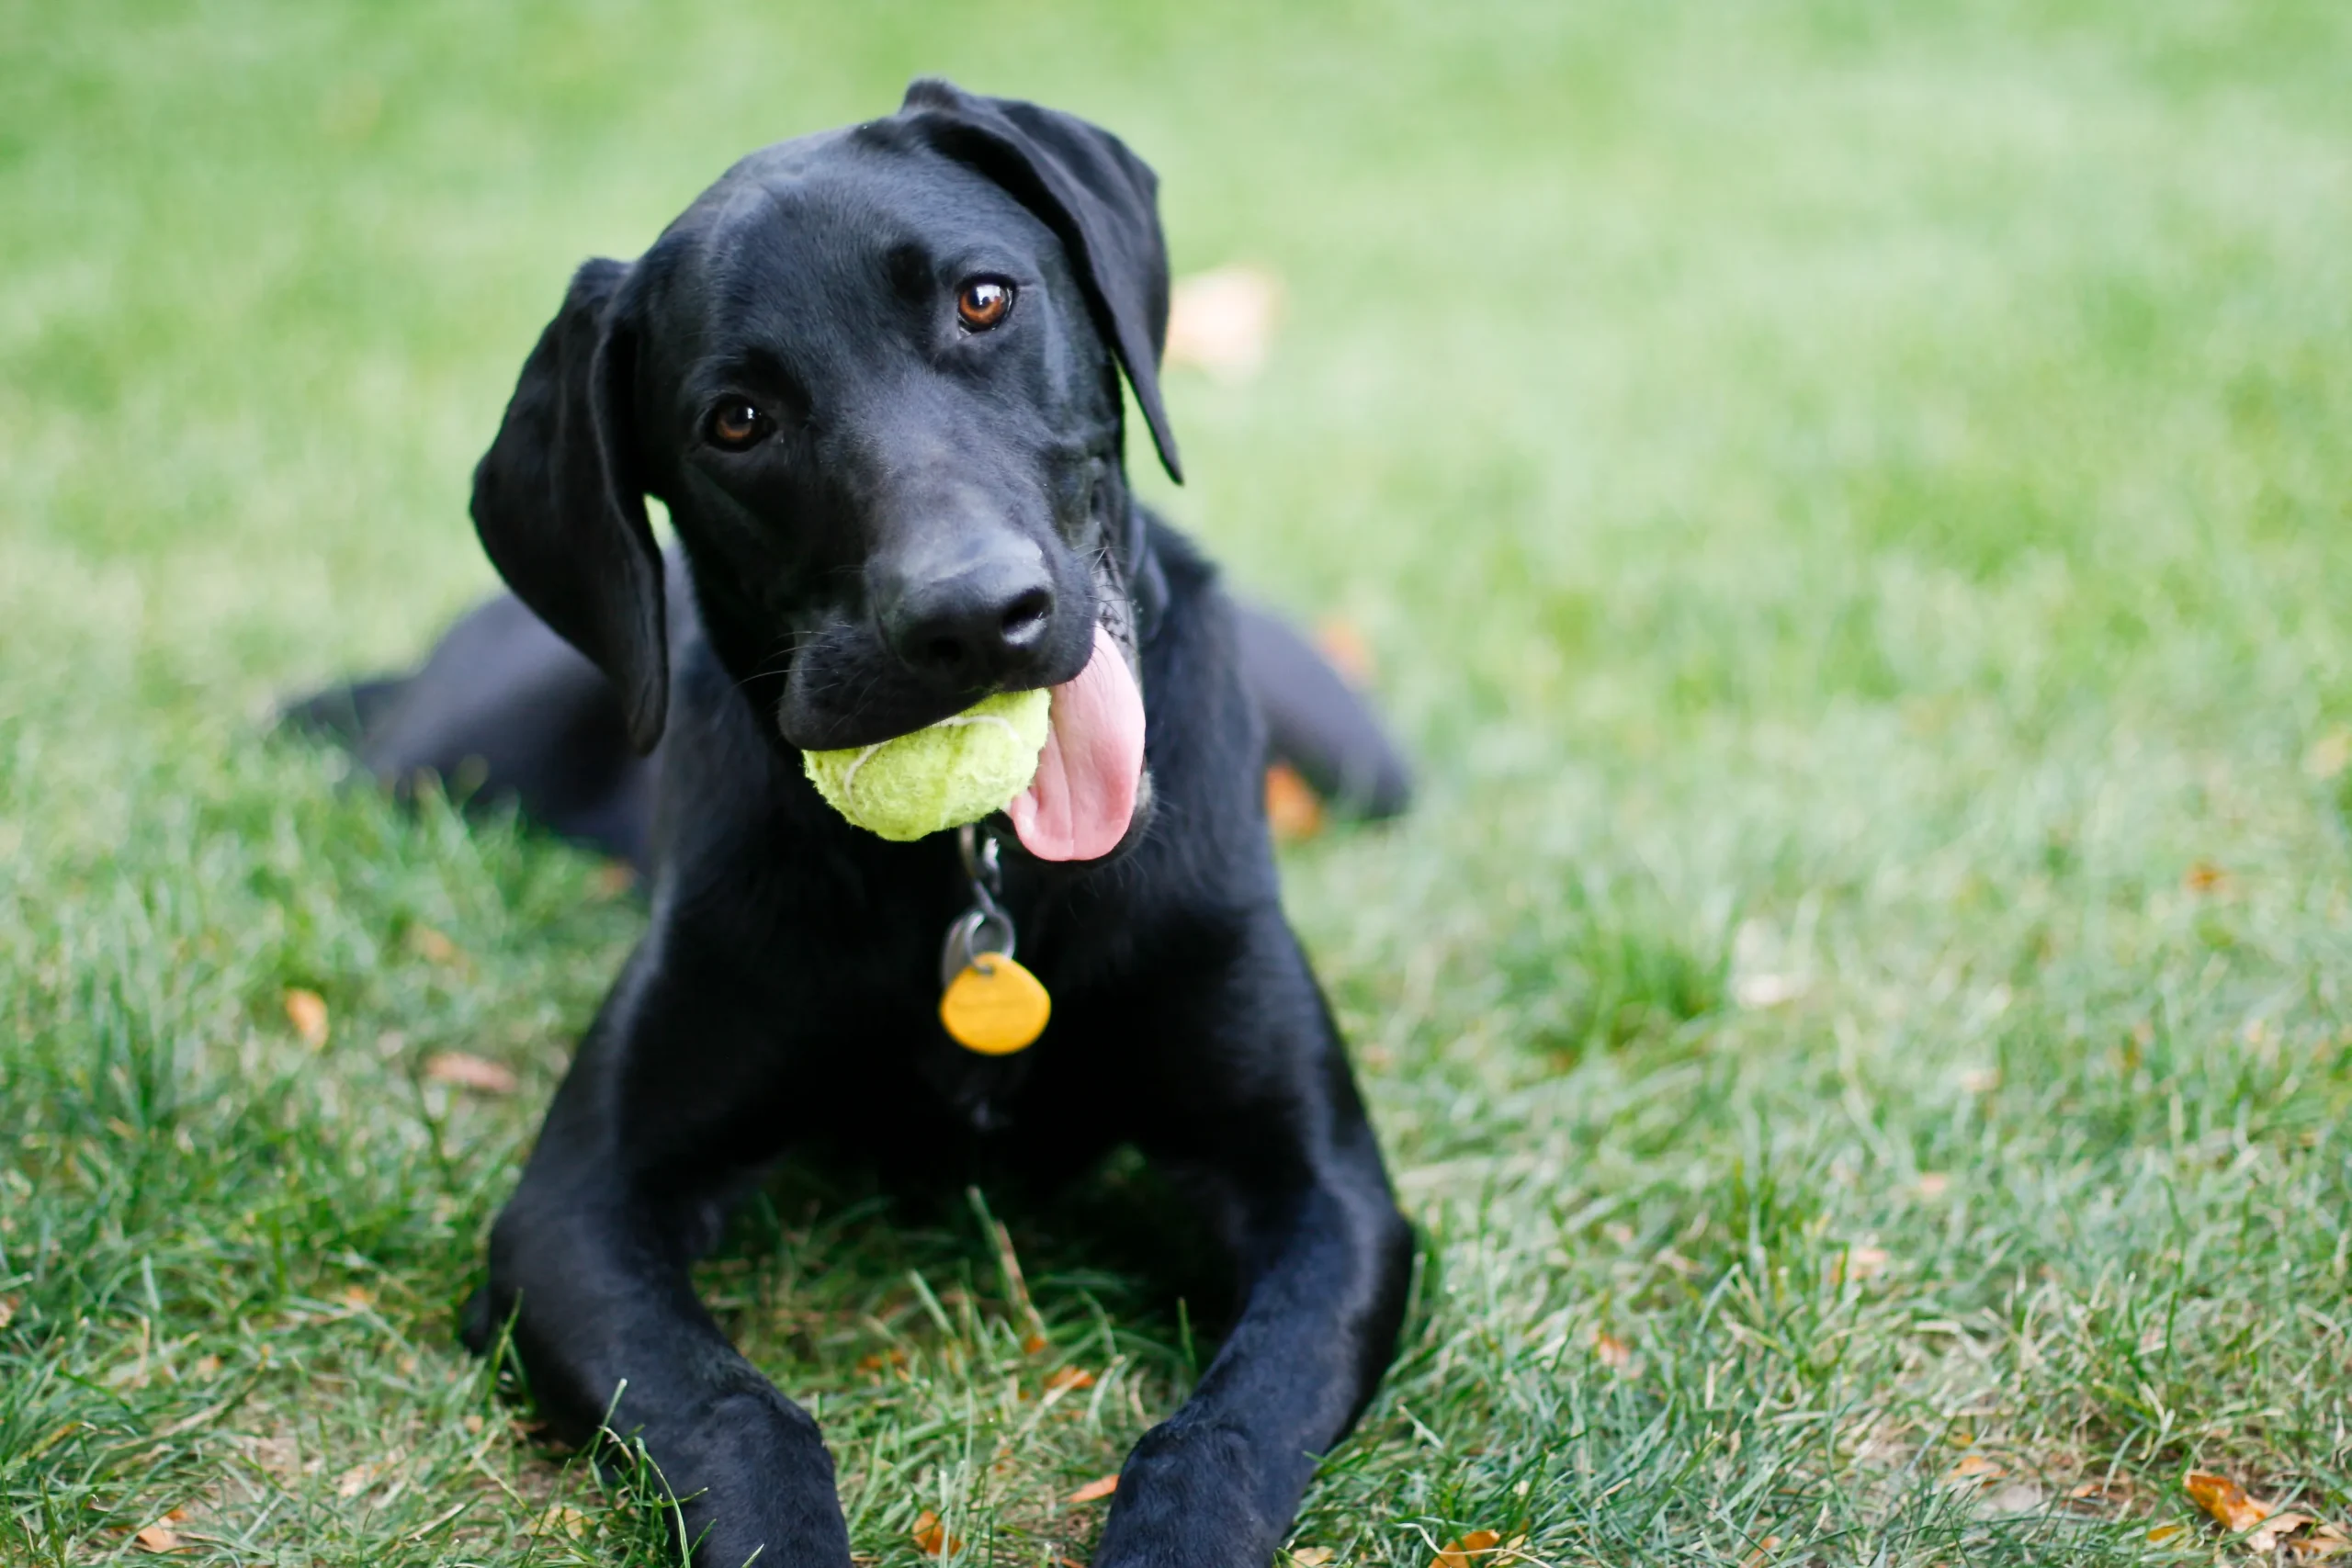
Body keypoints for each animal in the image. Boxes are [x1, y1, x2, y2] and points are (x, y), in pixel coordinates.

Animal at [334, 85, 1411, 1568]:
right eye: (735, 420)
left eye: (983, 299)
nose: (974, 619)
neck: (984, 868)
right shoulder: (574, 1210)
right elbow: (737, 1412)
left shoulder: (1326, 1191)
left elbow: (1231, 1424)